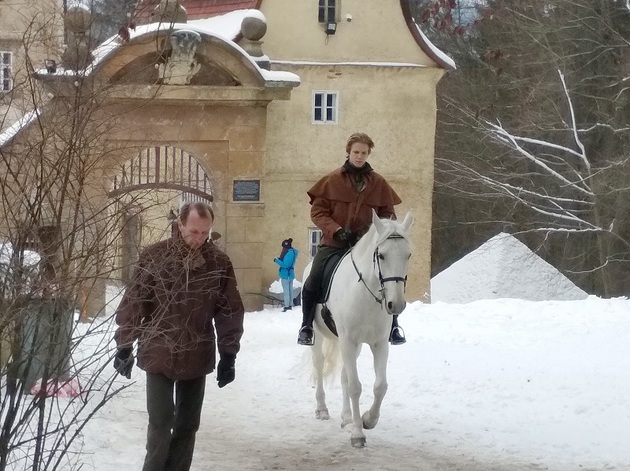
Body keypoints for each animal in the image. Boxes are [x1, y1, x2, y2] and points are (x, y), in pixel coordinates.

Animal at [304, 211, 414, 450]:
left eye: (408, 255)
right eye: (381, 255)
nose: (396, 305)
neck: (366, 294)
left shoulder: (378, 344)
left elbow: (380, 386)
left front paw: (367, 420)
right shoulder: (347, 340)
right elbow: (355, 386)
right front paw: (357, 434)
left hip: (354, 347)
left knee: (344, 375)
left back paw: (346, 417)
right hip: (320, 338)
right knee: (319, 367)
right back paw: (322, 409)